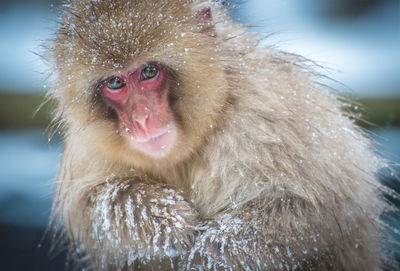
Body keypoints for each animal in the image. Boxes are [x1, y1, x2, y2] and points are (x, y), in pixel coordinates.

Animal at [46, 0, 388, 271]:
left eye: (148, 72)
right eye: (115, 83)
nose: (142, 120)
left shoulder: (265, 109)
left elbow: (315, 208)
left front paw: (210, 254)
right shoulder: (90, 146)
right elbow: (92, 201)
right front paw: (163, 219)